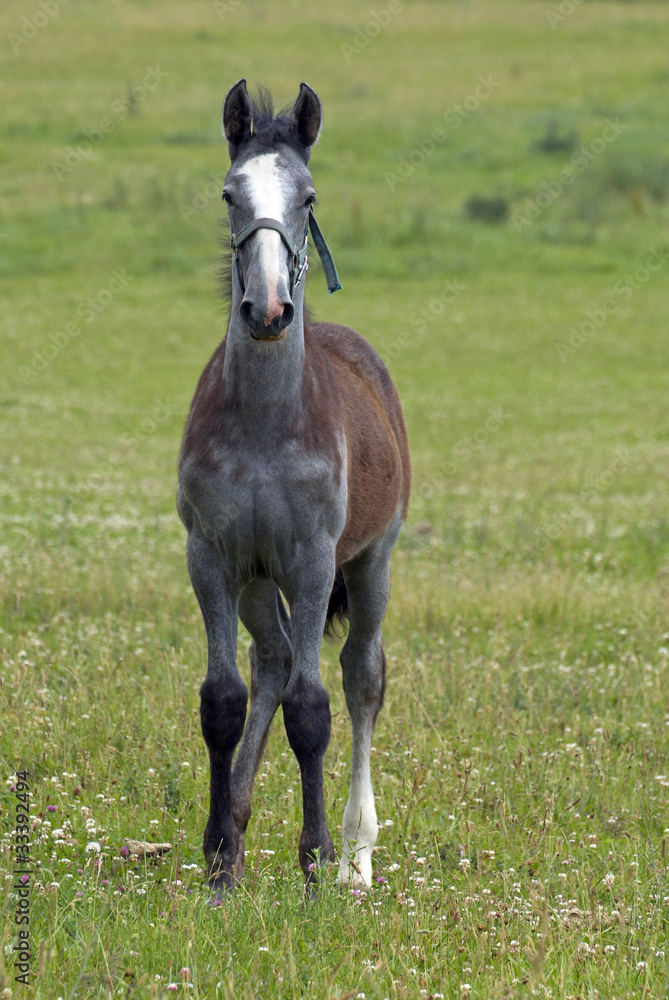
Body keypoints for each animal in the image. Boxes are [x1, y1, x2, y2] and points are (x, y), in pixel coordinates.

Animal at [177, 79, 411, 894]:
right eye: (229, 193)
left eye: (307, 197)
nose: (270, 309)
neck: (264, 426)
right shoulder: (213, 555)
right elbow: (223, 699)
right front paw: (221, 860)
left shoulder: (312, 559)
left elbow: (314, 707)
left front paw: (314, 863)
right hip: (256, 579)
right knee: (272, 660)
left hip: (371, 562)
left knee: (359, 677)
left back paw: (356, 859)